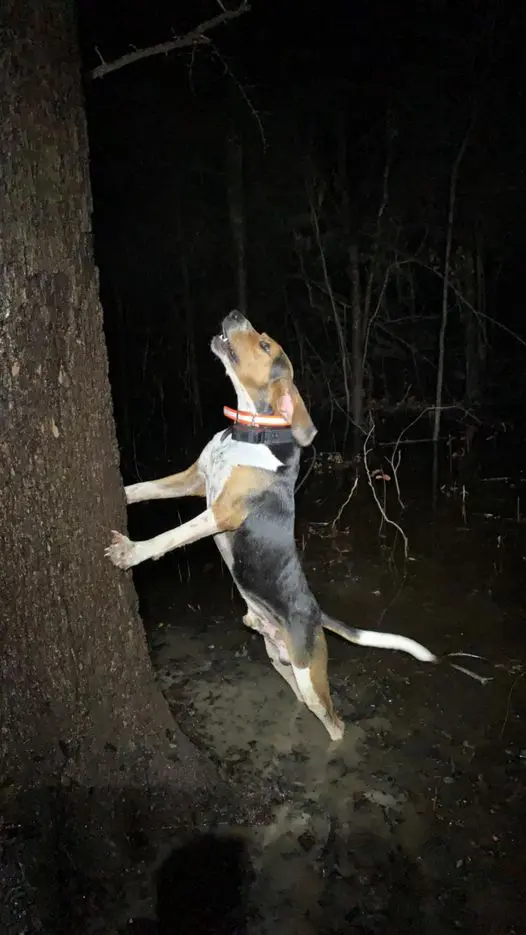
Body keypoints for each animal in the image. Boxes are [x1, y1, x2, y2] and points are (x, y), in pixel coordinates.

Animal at [106, 310, 474, 744]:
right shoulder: (194, 480)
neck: (250, 430)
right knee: (301, 703)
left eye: (265, 345)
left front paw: (131, 551)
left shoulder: (222, 511)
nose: (234, 314)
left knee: (335, 724)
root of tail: (316, 614)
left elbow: (170, 536)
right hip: (282, 664)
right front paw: (121, 492)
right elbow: (145, 488)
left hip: (310, 675)